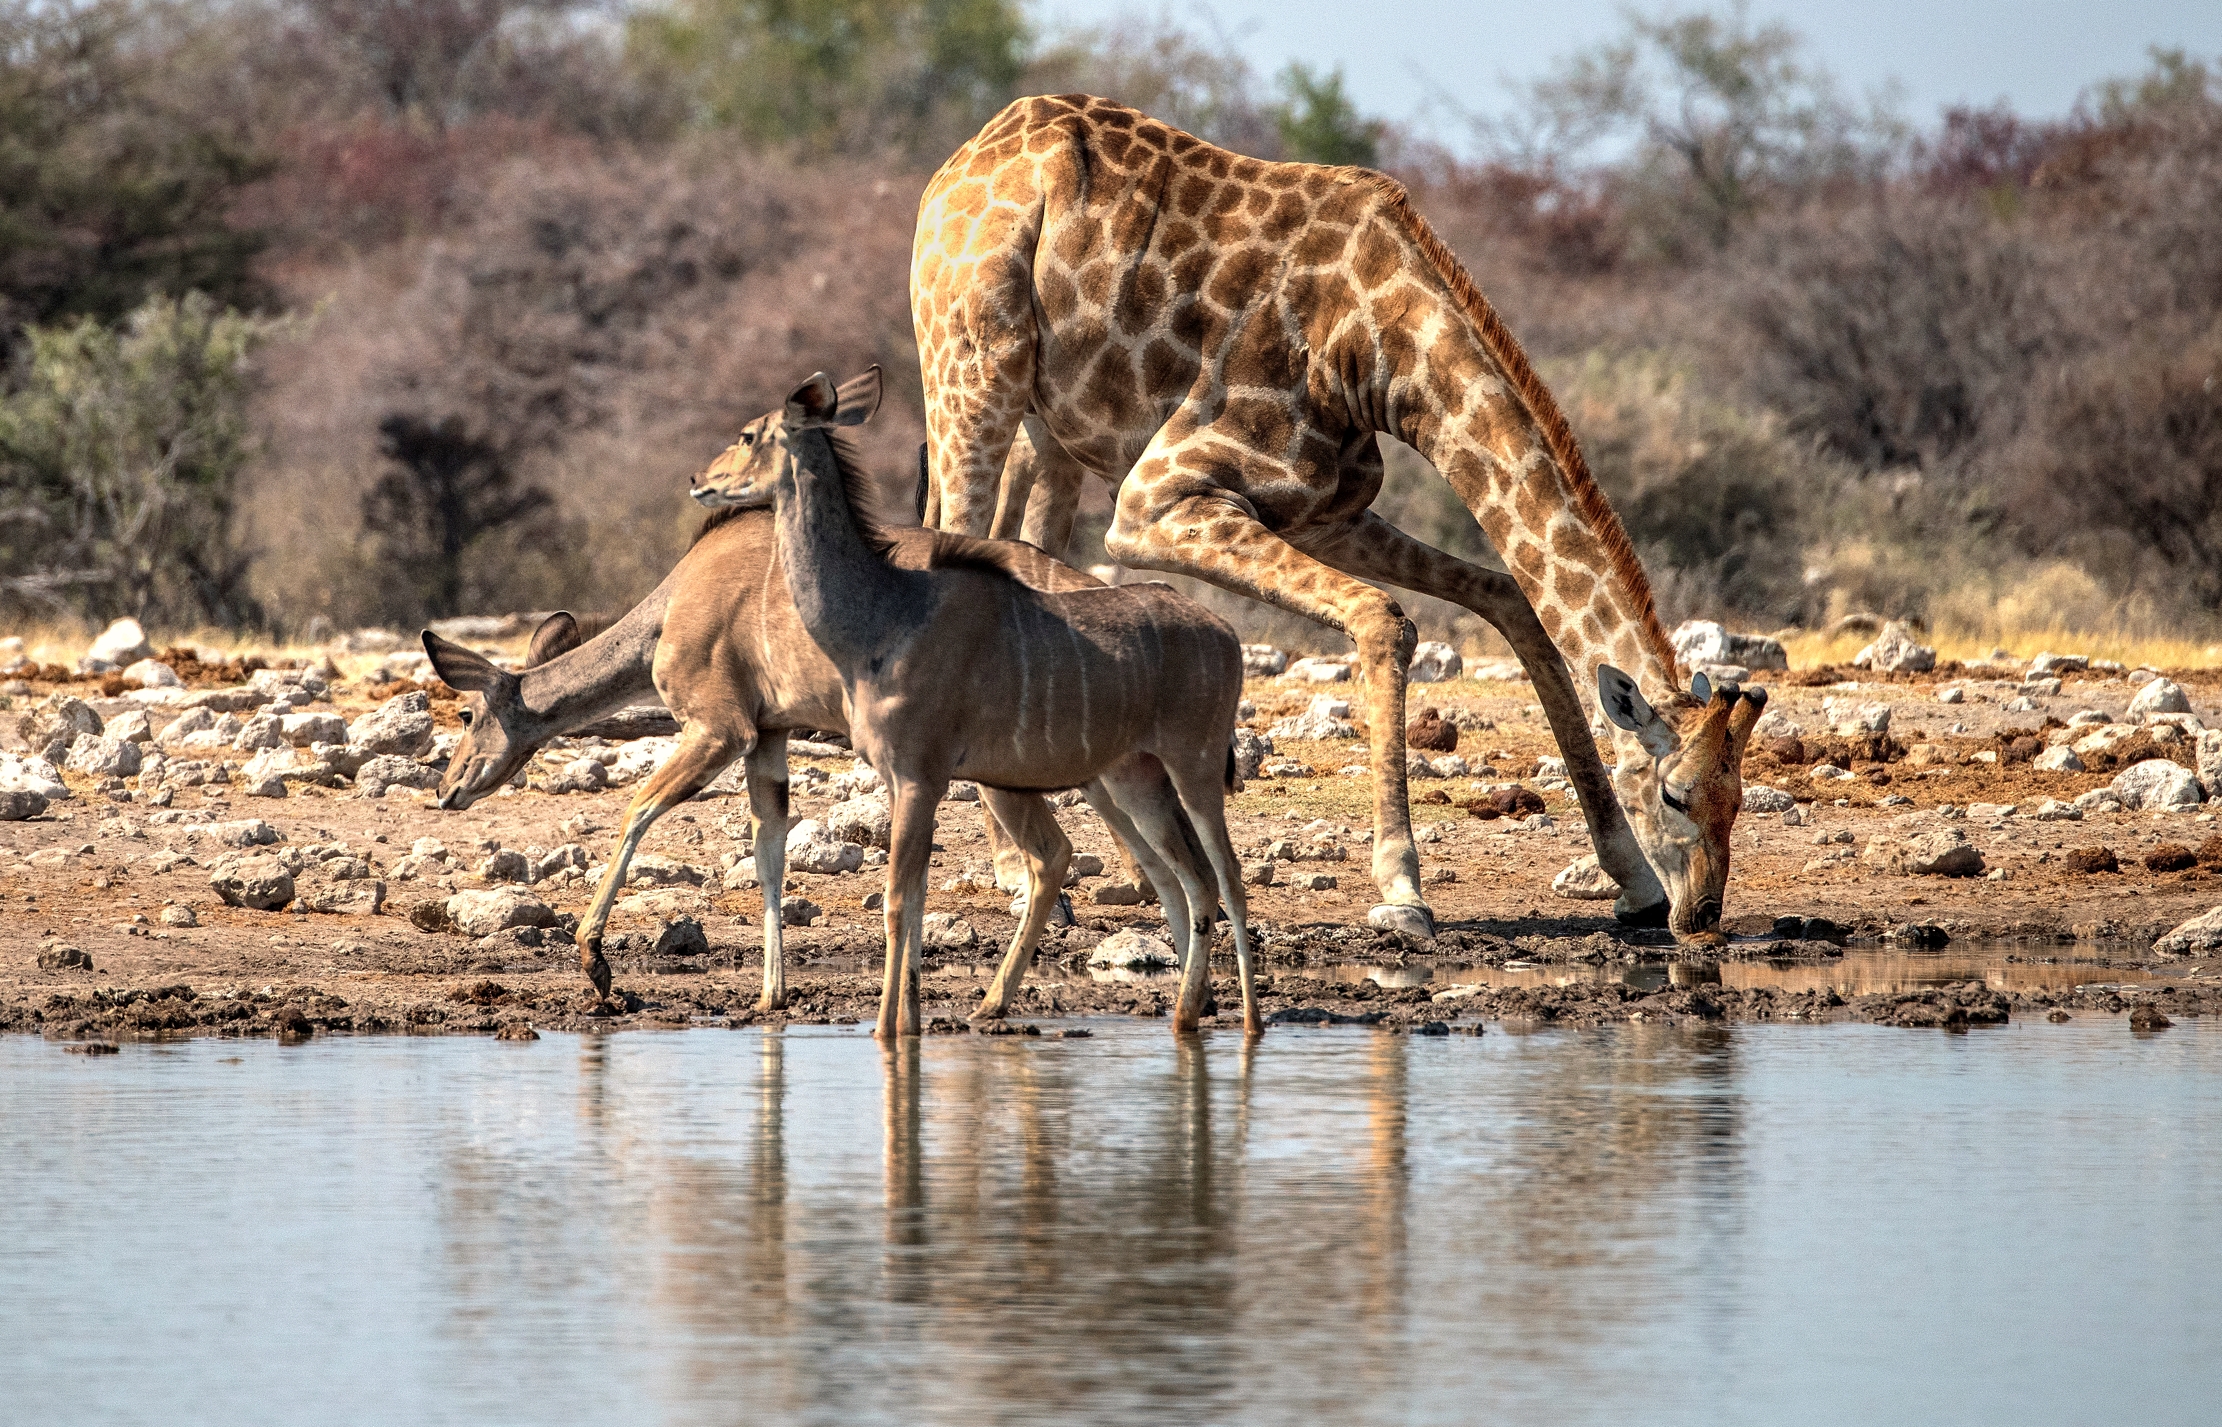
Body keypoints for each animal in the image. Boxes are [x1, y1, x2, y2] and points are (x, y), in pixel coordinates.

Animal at [911, 94, 1765, 944]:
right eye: (1676, 794)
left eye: (1739, 799)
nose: (1702, 914)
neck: (1378, 351)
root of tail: (961, 161)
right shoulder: (1157, 499)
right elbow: (1387, 619)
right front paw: (1402, 886)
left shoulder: (1324, 510)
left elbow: (1510, 599)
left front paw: (1630, 879)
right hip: (971, 369)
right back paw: (1017, 874)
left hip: (1047, 427)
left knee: (1023, 560)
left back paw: (1091, 869)